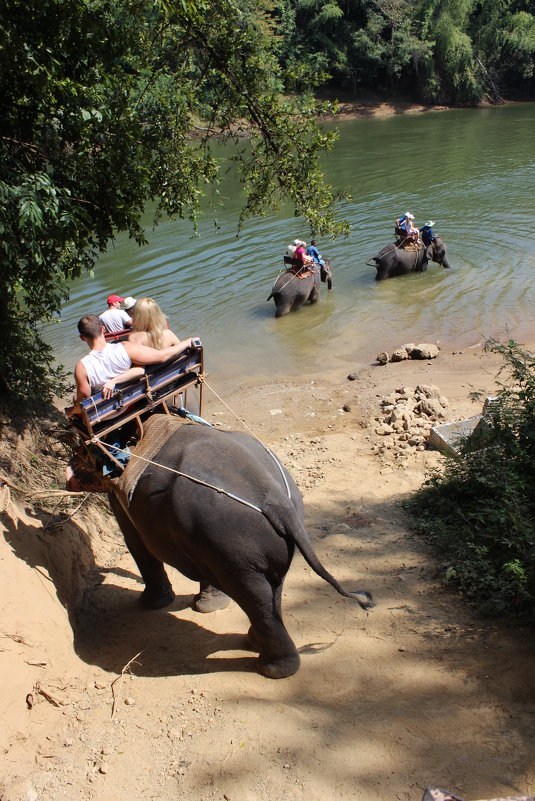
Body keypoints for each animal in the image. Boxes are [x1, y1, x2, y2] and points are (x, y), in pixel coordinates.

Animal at [67, 416, 372, 680]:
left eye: (79, 453)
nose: (67, 477)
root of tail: (277, 503)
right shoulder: (198, 541)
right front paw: (206, 606)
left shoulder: (120, 496)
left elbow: (136, 543)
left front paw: (151, 605)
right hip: (252, 542)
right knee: (271, 590)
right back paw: (257, 645)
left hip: (232, 546)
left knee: (254, 595)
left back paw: (269, 668)